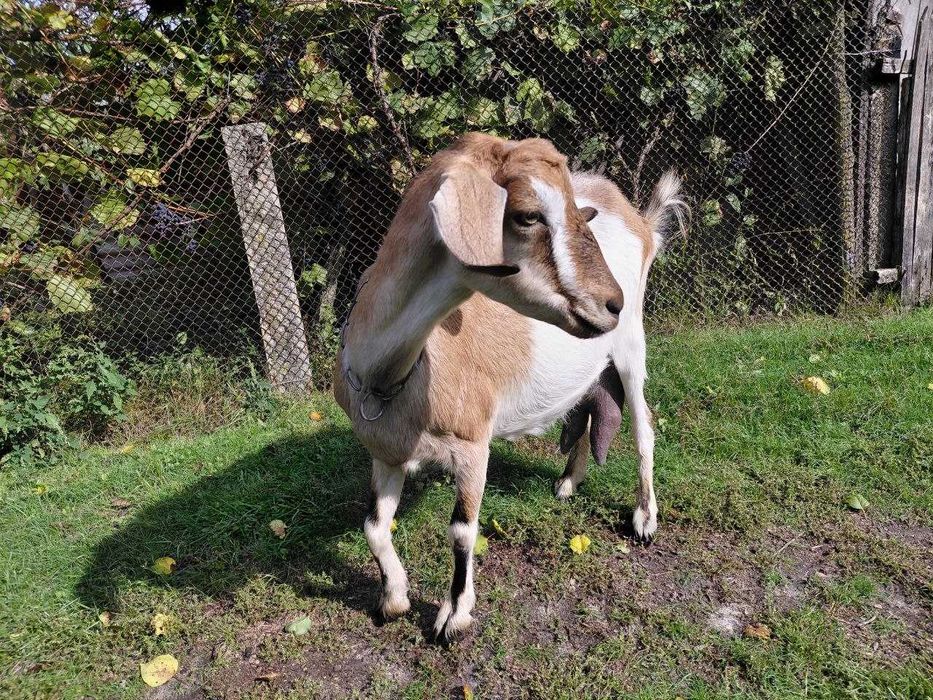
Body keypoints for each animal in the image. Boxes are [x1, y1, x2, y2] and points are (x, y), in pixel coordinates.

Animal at [333, 133, 684, 641]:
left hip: (632, 346)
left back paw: (644, 519)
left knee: (644, 429)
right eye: (528, 215)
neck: (388, 375)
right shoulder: (387, 451)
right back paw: (568, 483)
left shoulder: (472, 444)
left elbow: (462, 531)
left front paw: (453, 616)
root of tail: (641, 220)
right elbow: (374, 527)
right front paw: (393, 599)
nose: (610, 302)